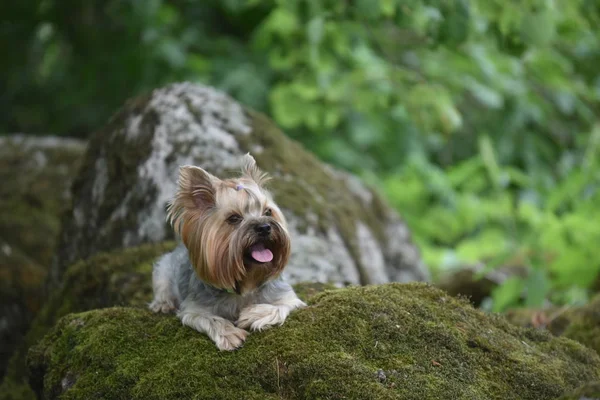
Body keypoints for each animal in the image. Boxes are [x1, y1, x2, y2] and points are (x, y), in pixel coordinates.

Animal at [149, 153, 308, 350]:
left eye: (268, 211)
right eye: (234, 218)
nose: (264, 227)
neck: (247, 280)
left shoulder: (289, 299)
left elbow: (281, 306)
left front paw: (254, 314)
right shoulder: (194, 309)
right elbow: (209, 319)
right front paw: (230, 334)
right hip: (164, 268)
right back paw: (162, 304)